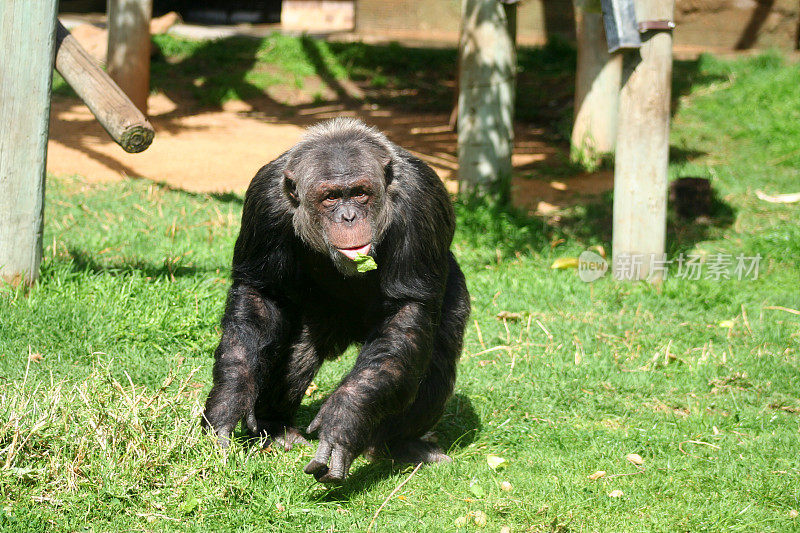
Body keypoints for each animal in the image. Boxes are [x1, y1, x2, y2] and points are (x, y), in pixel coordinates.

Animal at [203, 118, 472, 484]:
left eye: (359, 193)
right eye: (331, 196)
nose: (348, 217)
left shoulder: (422, 200)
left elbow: (407, 309)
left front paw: (344, 420)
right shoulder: (264, 201)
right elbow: (260, 293)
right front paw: (227, 401)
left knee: (437, 348)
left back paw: (403, 444)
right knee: (297, 348)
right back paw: (276, 427)